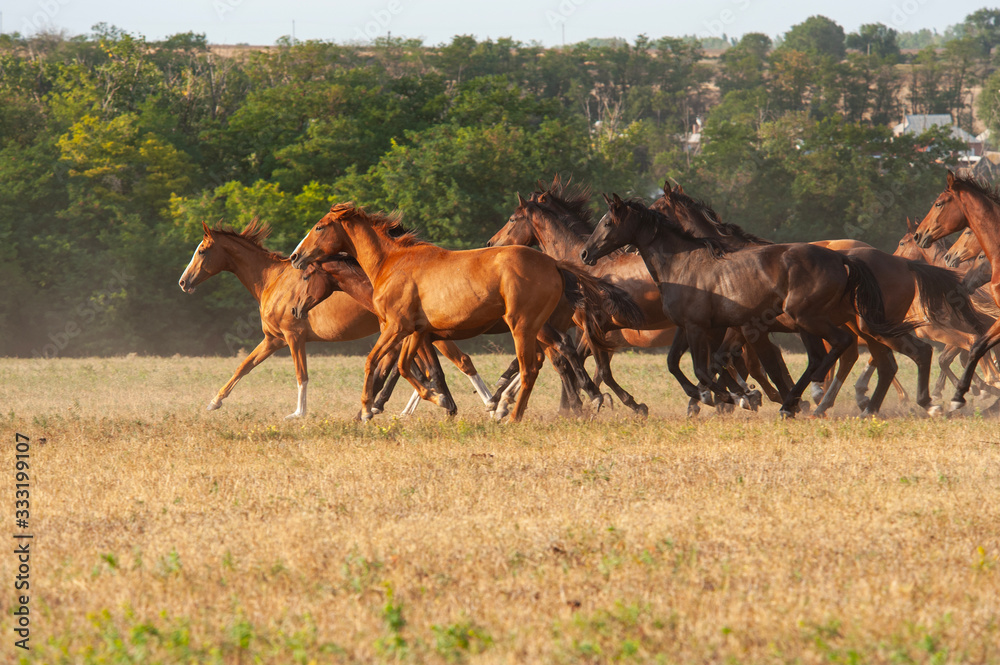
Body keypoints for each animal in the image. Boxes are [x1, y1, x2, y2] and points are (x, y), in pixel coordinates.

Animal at [181, 217, 492, 416]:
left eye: (202, 250)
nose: (183, 282)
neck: (272, 280)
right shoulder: (272, 340)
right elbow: (243, 367)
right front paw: (214, 402)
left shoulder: (293, 337)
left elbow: (301, 373)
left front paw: (299, 413)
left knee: (456, 362)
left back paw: (484, 403)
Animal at [584, 192, 916, 418]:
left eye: (608, 222)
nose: (587, 253)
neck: (683, 265)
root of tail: (841, 258)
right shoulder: (697, 328)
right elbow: (678, 363)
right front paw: (716, 397)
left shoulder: (706, 328)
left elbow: (707, 368)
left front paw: (728, 398)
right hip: (818, 324)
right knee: (843, 356)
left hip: (811, 319)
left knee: (843, 347)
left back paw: (810, 397)